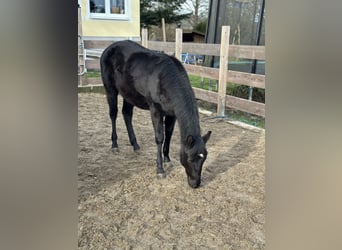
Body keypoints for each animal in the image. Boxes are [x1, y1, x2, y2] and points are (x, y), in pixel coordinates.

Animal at [100, 40, 210, 188]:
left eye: (204, 158)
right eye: (190, 158)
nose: (195, 184)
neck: (166, 79)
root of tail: (109, 48)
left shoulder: (171, 114)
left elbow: (168, 134)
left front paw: (167, 159)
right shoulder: (156, 110)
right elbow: (159, 138)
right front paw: (160, 170)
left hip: (129, 94)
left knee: (127, 114)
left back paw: (135, 145)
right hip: (110, 89)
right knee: (113, 114)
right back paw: (114, 145)